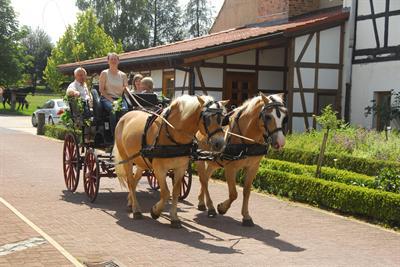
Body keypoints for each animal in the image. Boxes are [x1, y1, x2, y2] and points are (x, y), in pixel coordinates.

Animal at [115, 94, 228, 228]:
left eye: (223, 118)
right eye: (207, 118)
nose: (219, 144)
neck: (172, 134)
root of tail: (125, 116)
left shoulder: (180, 168)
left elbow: (175, 192)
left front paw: (174, 217)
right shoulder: (159, 169)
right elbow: (165, 193)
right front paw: (155, 211)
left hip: (141, 161)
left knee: (135, 180)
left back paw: (130, 202)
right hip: (126, 159)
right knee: (131, 182)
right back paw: (136, 210)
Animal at [195, 93, 286, 227]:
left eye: (284, 116)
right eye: (268, 117)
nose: (280, 142)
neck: (247, 140)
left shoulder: (253, 167)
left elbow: (246, 191)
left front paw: (246, 216)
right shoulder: (230, 168)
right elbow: (234, 194)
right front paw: (222, 208)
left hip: (213, 162)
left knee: (205, 179)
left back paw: (202, 202)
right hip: (200, 159)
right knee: (203, 180)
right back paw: (211, 207)